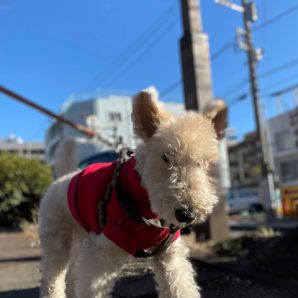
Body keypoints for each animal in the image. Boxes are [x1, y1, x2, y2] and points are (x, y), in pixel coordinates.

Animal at [38, 87, 227, 296]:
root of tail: (64, 177)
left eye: (202, 163)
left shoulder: (169, 253)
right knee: (53, 277)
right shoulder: (101, 253)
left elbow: (181, 287)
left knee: (72, 273)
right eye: (166, 157)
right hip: (57, 238)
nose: (186, 214)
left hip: (80, 237)